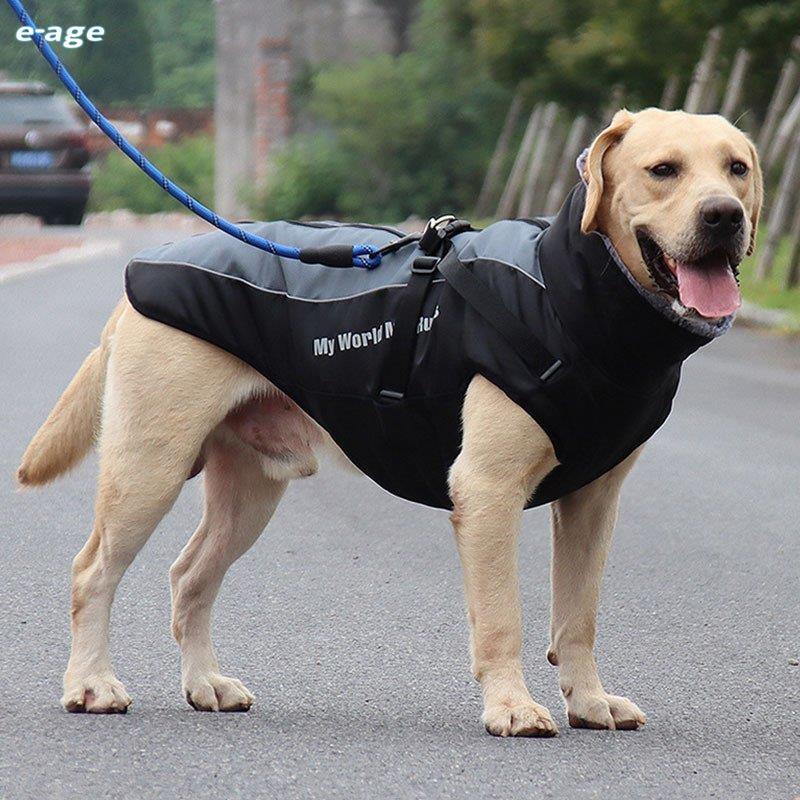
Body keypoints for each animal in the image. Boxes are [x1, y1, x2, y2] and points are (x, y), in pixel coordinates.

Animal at [17, 108, 764, 736]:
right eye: (663, 169)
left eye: (737, 168)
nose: (724, 217)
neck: (573, 292)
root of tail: (146, 270)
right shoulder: (487, 491)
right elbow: (504, 617)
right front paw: (512, 708)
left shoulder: (593, 501)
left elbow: (578, 618)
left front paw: (588, 701)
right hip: (149, 467)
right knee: (92, 573)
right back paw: (91, 686)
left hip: (250, 490)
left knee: (189, 577)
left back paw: (206, 685)